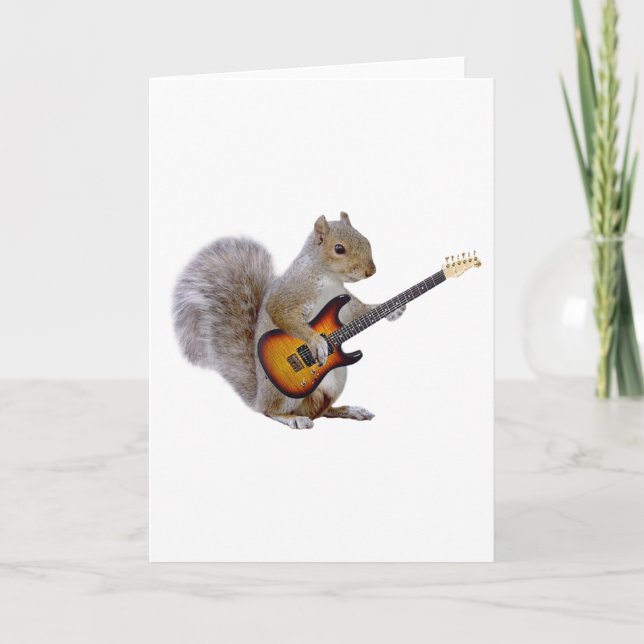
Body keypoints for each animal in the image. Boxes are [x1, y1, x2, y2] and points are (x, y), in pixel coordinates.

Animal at [173, 212, 405, 429]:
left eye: (366, 240)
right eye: (339, 249)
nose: (371, 271)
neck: (329, 278)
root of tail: (258, 398)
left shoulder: (345, 305)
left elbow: (359, 311)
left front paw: (392, 310)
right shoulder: (290, 295)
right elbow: (285, 315)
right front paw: (318, 342)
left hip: (337, 382)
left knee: (323, 411)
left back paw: (349, 410)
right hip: (282, 394)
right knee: (271, 411)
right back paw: (293, 418)